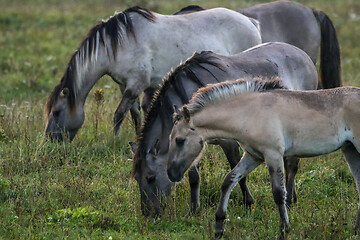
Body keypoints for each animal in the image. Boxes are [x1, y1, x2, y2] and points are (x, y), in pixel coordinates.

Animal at [44, 5, 262, 141]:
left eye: (56, 112)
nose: (49, 140)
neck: (119, 44)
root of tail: (250, 21)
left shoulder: (135, 85)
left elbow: (119, 115)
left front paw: (115, 139)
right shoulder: (126, 85)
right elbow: (135, 114)